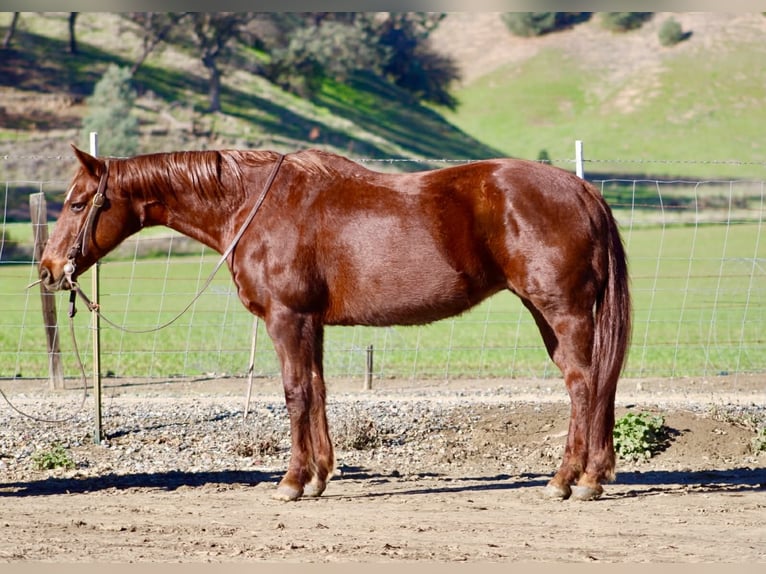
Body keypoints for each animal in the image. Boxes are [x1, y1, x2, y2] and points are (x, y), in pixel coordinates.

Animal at [39, 145, 631, 502]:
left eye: (76, 203)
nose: (47, 269)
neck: (255, 206)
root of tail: (582, 190)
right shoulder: (311, 324)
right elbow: (319, 390)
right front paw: (320, 475)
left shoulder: (287, 318)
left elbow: (295, 392)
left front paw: (292, 481)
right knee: (592, 385)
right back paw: (591, 475)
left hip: (560, 311)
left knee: (585, 385)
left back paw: (572, 480)